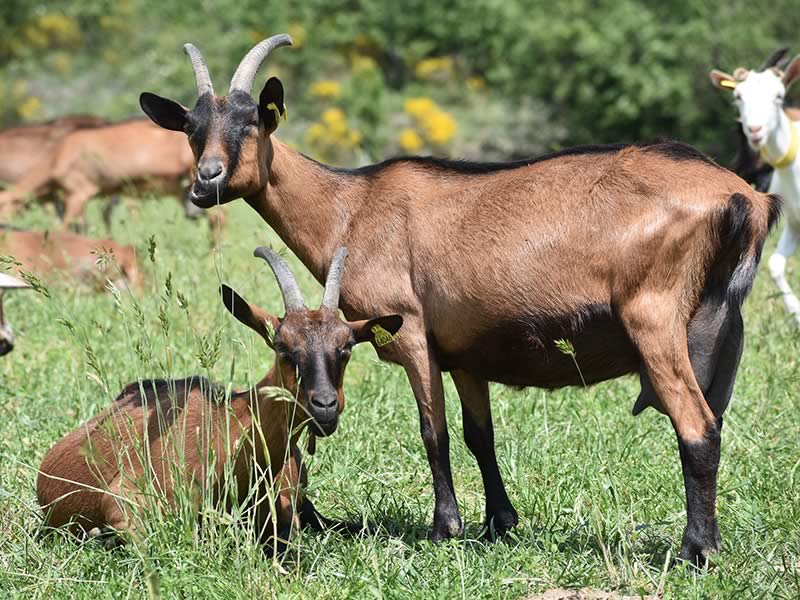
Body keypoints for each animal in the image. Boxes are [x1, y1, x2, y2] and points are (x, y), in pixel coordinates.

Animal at [139, 38, 780, 568]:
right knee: (712, 420)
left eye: (252, 122)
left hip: (656, 318)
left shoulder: (410, 333)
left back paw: (694, 552)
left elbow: (434, 432)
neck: (351, 206)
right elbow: (479, 435)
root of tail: (744, 197)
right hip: (722, 331)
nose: (205, 181)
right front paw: (499, 524)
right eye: (192, 127)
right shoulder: (466, 350)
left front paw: (443, 528)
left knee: (697, 427)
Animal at [716, 57, 800, 324]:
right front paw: (796, 313)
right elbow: (775, 265)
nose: (755, 130)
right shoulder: (794, 222)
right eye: (739, 96)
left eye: (779, 96)